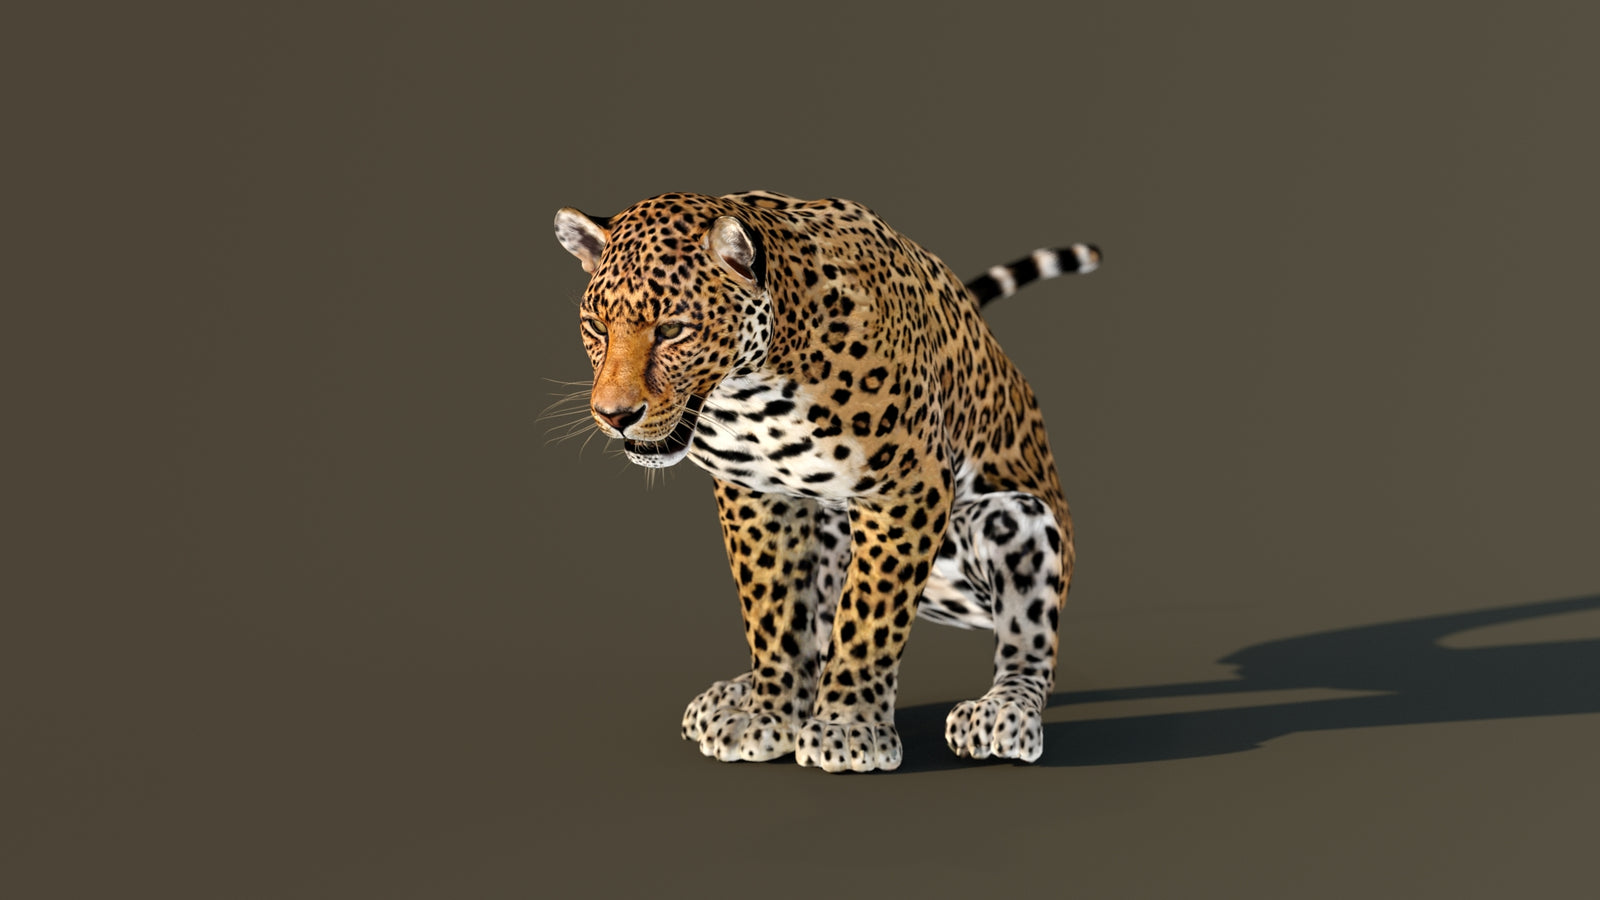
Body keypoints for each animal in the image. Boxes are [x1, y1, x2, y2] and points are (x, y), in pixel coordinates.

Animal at [553, 190, 1100, 772]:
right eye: (596, 326)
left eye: (673, 329)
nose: (614, 415)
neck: (753, 390)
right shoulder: (758, 495)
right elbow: (772, 612)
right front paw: (769, 713)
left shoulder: (907, 486)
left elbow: (869, 617)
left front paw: (847, 727)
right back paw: (733, 695)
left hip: (1016, 519)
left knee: (1029, 644)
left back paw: (1002, 713)